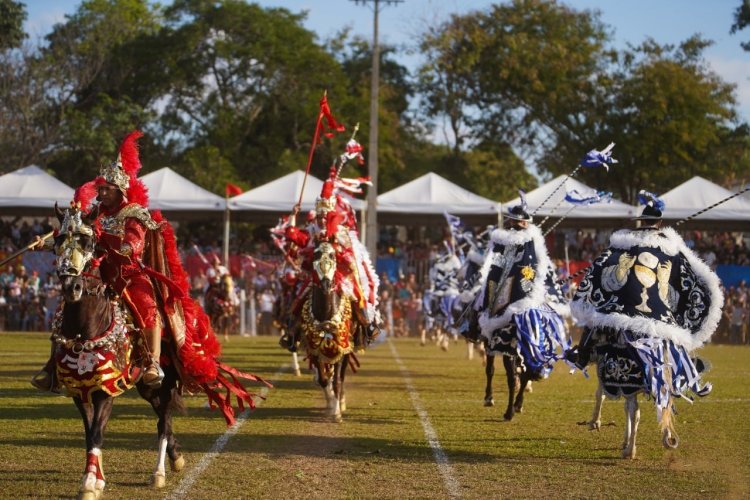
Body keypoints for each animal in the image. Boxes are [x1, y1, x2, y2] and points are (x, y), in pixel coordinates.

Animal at [51, 205, 185, 498]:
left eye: (88, 242)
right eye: (59, 241)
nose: (71, 287)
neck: (85, 331)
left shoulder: (106, 389)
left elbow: (97, 433)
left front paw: (89, 483)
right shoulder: (79, 391)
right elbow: (89, 432)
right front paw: (97, 479)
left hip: (164, 382)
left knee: (164, 420)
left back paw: (159, 473)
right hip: (146, 388)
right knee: (162, 418)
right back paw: (176, 456)